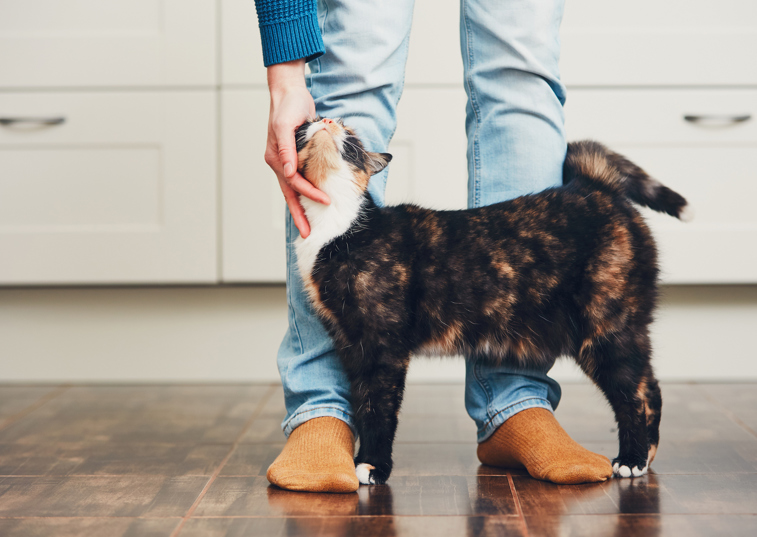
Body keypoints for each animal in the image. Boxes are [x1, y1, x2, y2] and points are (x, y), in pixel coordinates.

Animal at [292, 116, 688, 486]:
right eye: (307, 124)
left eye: (351, 137)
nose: (326, 120)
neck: (337, 227)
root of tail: (593, 186)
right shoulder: (351, 345)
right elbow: (362, 404)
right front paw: (359, 460)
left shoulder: (383, 346)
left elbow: (379, 408)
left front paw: (373, 466)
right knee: (649, 386)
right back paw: (645, 455)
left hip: (606, 328)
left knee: (635, 393)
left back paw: (632, 459)